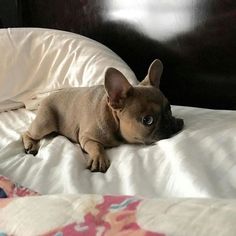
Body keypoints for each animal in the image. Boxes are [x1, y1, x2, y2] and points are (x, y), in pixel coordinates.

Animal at [22, 60, 184, 172]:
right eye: (148, 120)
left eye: (169, 109)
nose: (169, 123)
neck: (113, 120)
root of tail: (46, 97)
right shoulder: (86, 138)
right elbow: (96, 146)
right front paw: (99, 159)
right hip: (45, 122)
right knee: (27, 133)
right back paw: (31, 145)